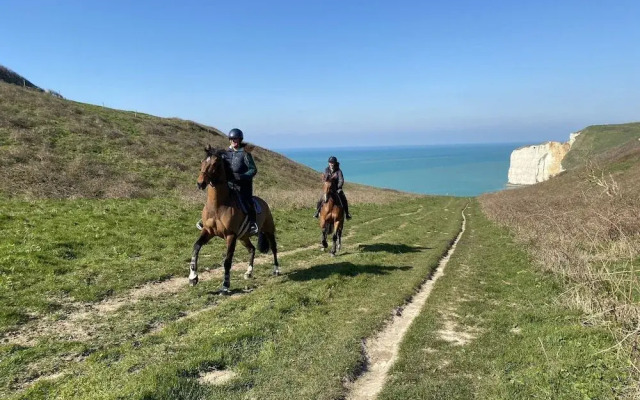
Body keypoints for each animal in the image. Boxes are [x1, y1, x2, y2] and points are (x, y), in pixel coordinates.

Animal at [190, 145, 280, 292]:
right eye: (202, 162)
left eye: (215, 163)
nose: (200, 183)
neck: (218, 205)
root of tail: (264, 203)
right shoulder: (208, 231)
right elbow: (196, 247)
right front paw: (193, 277)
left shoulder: (230, 236)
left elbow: (227, 261)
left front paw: (225, 285)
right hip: (243, 237)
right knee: (252, 249)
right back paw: (248, 272)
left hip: (268, 231)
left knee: (274, 248)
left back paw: (276, 270)